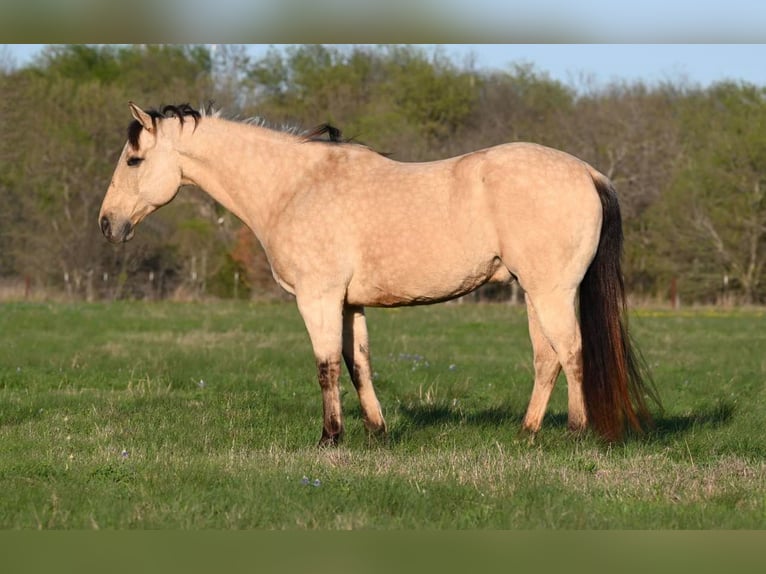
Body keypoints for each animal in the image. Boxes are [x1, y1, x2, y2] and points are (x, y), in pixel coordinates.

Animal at [99, 102, 656, 446]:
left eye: (134, 160)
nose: (108, 224)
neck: (293, 187)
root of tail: (588, 172)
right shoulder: (350, 303)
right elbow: (357, 363)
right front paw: (376, 431)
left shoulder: (319, 298)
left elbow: (325, 366)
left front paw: (330, 438)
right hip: (537, 294)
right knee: (547, 359)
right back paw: (526, 433)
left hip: (552, 291)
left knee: (572, 353)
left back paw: (577, 433)